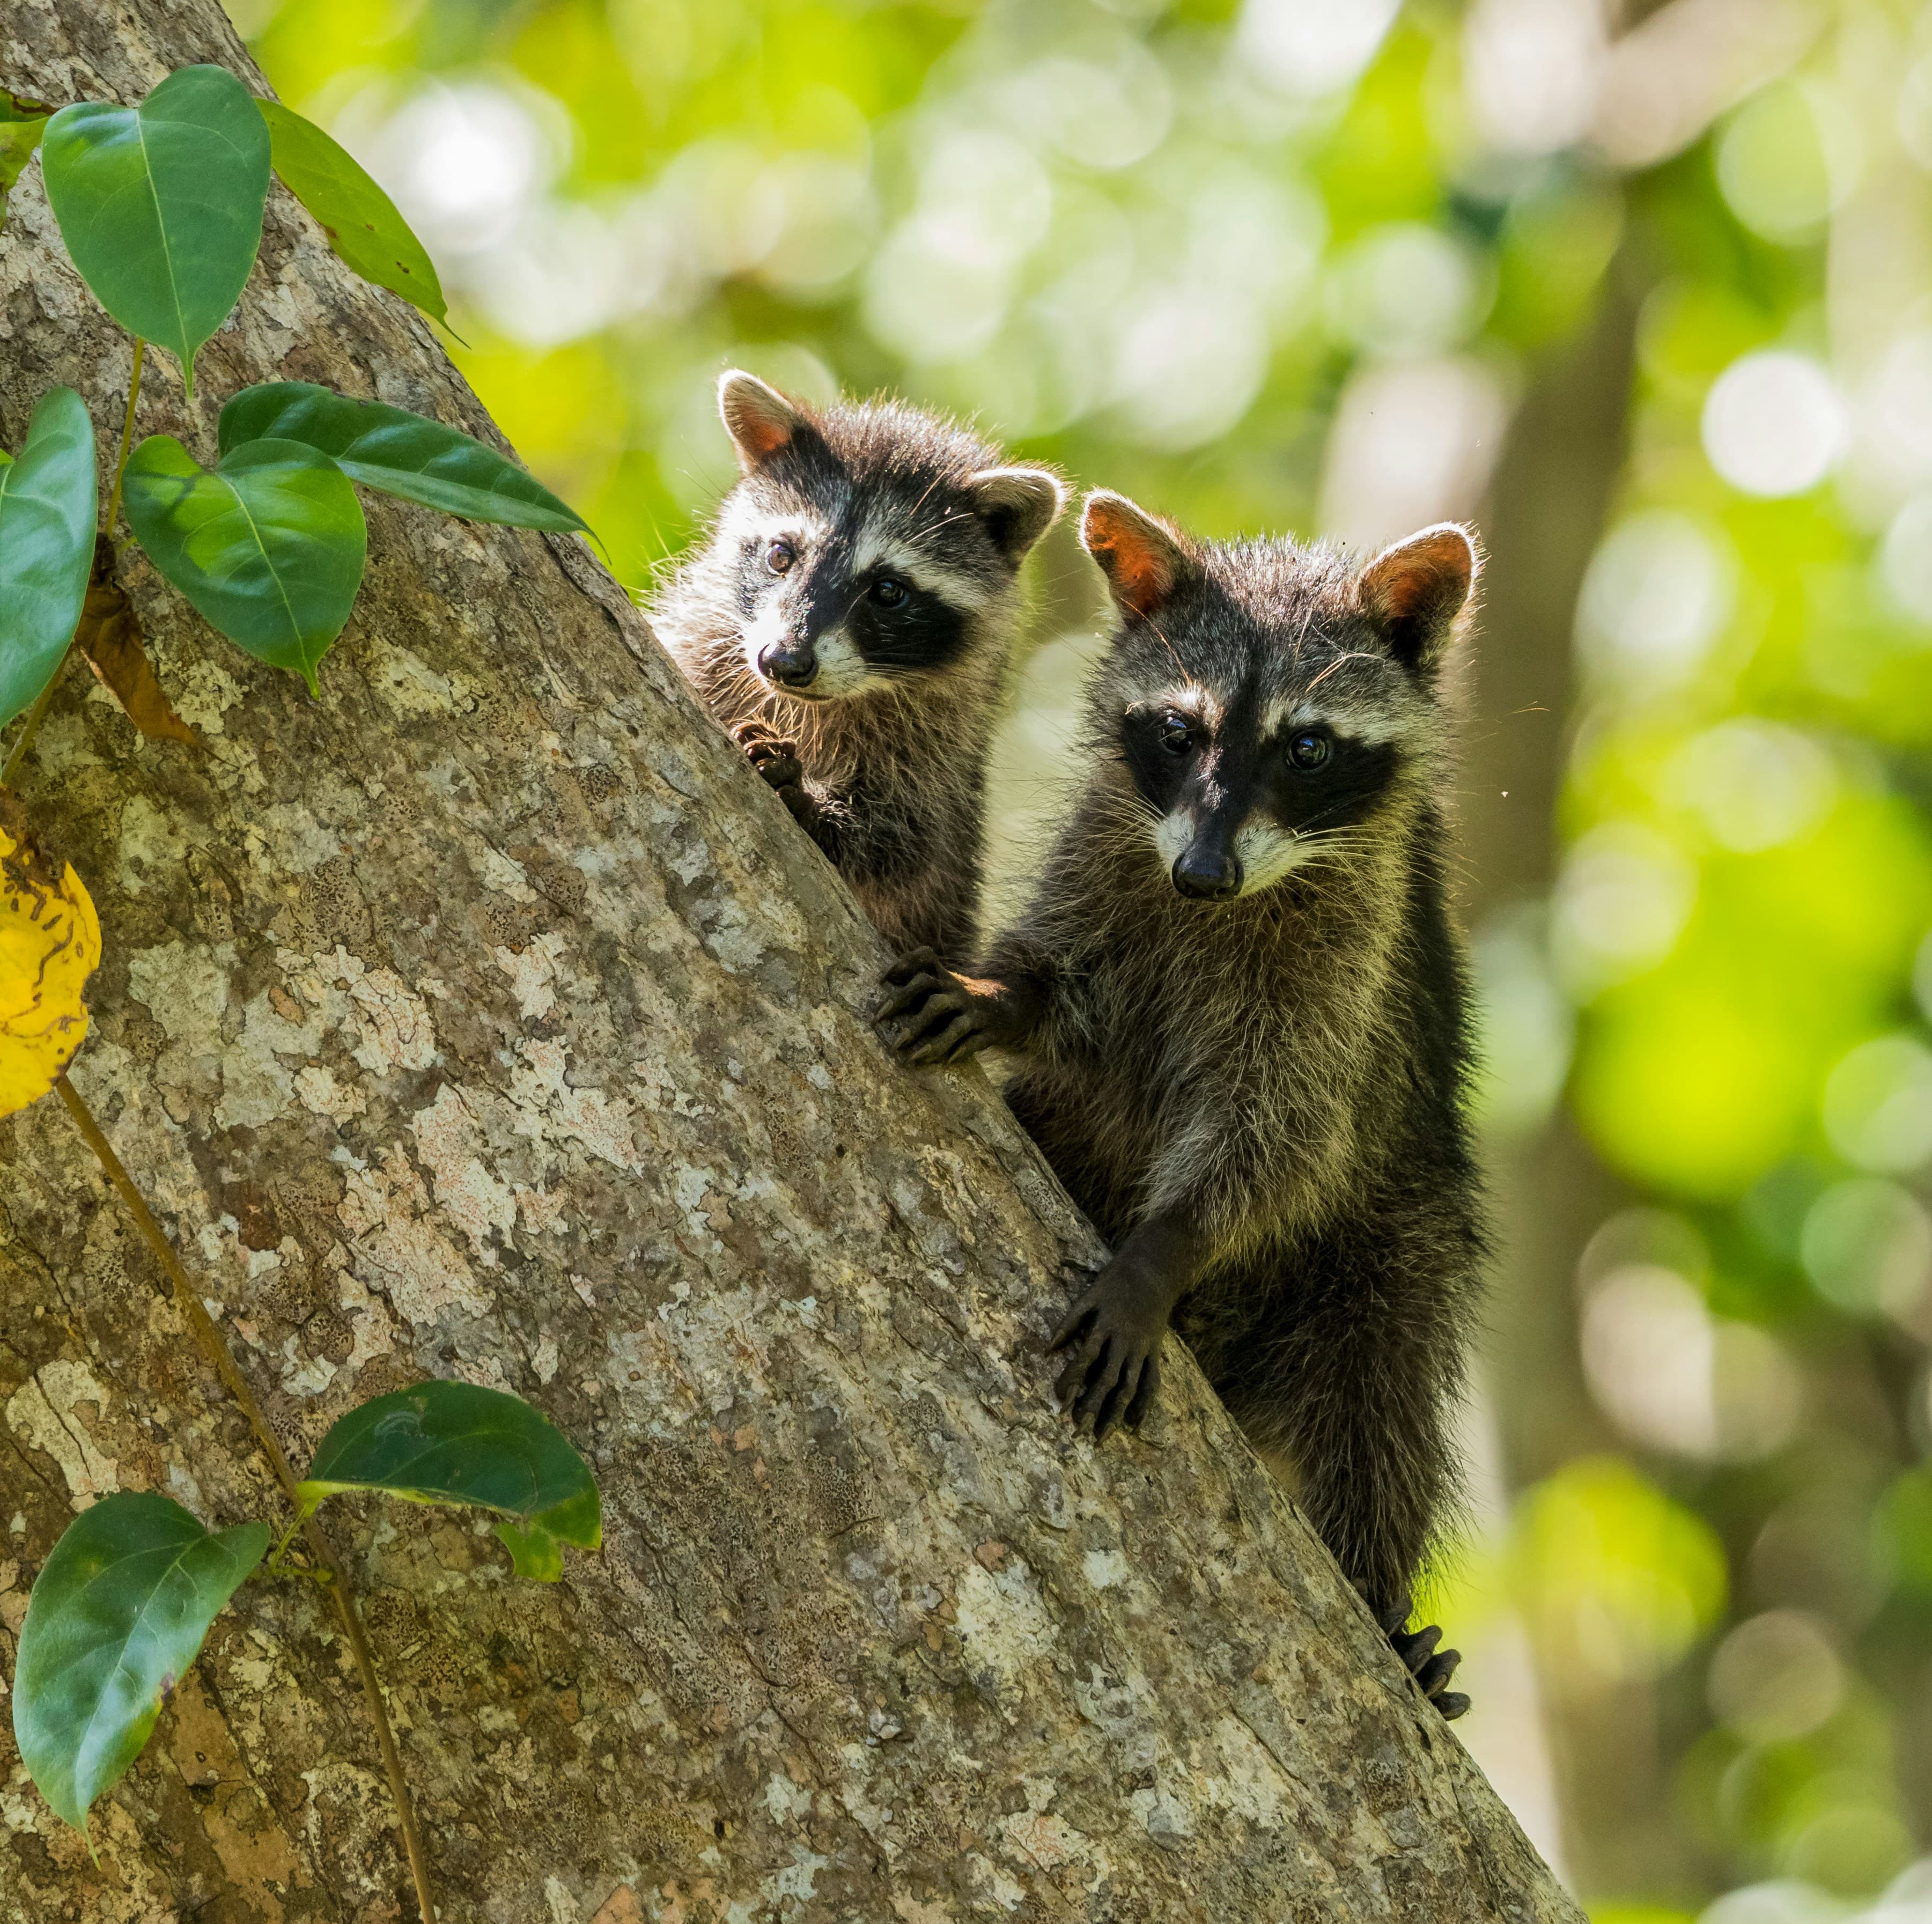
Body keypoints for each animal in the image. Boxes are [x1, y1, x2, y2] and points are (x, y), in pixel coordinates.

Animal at [650, 372, 1065, 962]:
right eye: (780, 556)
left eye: (888, 590)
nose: (784, 661)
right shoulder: (706, 641)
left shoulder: (940, 743)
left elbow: (907, 841)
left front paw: (811, 801)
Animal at [877, 491, 1487, 1717]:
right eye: (1178, 732)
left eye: (1307, 746)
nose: (1202, 876)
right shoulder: (1110, 852)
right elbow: (1064, 984)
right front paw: (1001, 996)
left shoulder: (1347, 966)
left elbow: (1282, 1133)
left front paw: (1165, 1246)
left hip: (1397, 1238)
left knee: (1383, 1393)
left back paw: (1381, 1600)